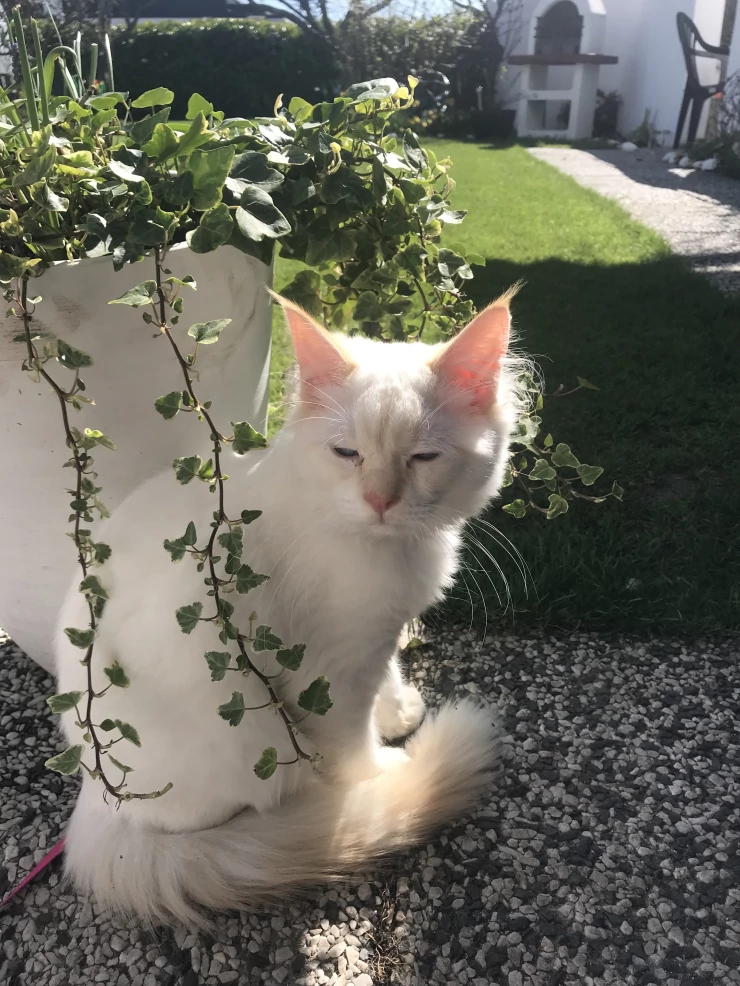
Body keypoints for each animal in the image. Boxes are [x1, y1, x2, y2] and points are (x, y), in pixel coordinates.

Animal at [55, 286, 522, 928]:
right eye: (346, 453)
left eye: (424, 457)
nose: (380, 500)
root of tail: (94, 796)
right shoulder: (330, 672)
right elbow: (353, 741)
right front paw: (380, 772)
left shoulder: (378, 632)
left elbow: (388, 676)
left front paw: (398, 710)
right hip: (249, 735)